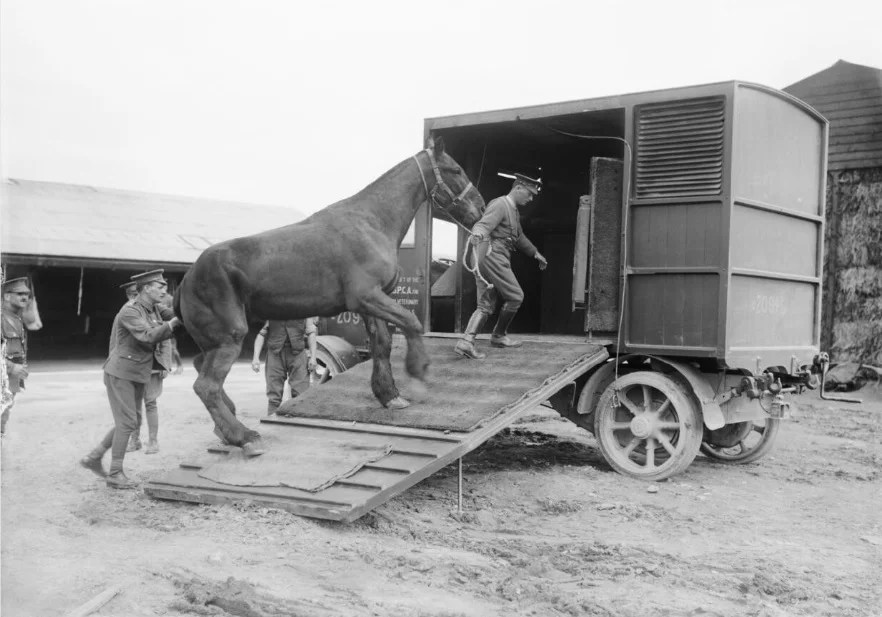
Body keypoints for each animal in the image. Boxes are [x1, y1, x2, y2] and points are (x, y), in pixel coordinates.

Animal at [175, 137, 485, 455]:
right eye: (456, 170)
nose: (481, 208)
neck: (371, 222)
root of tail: (188, 278)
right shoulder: (367, 297)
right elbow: (411, 323)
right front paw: (418, 371)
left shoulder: (371, 304)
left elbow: (382, 345)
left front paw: (389, 395)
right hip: (230, 337)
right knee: (206, 386)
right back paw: (245, 437)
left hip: (214, 342)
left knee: (202, 372)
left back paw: (227, 430)